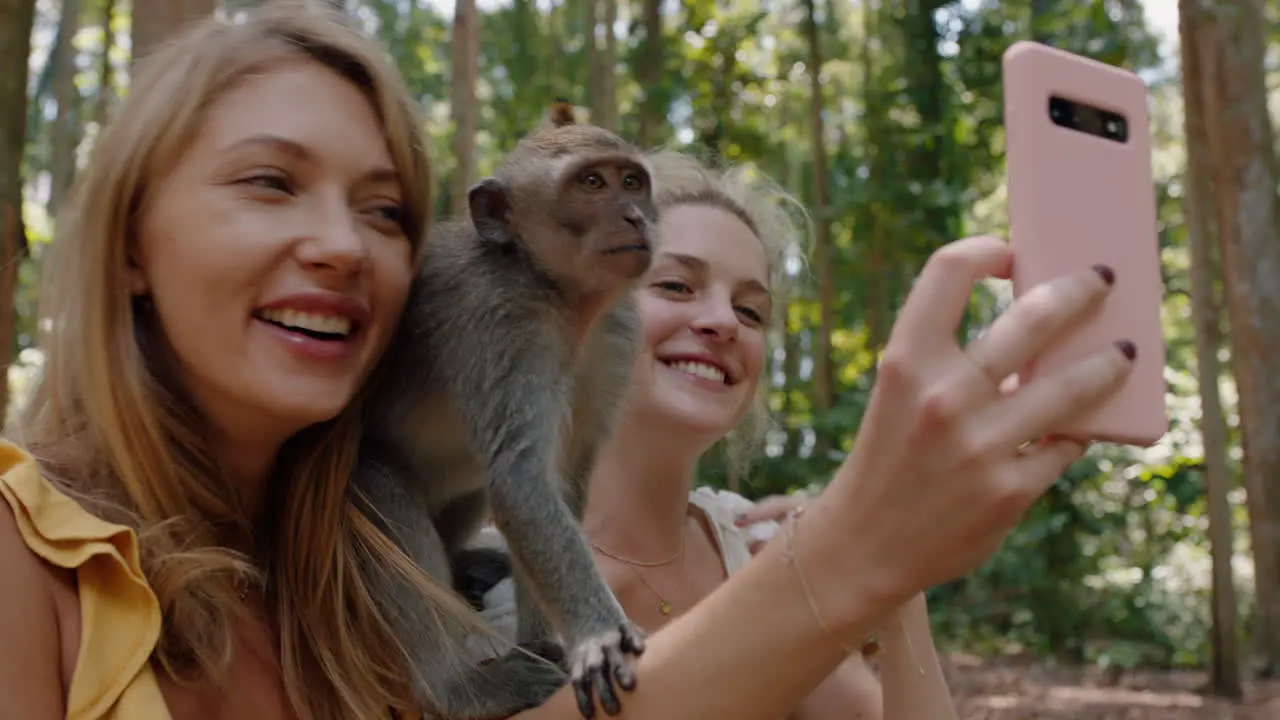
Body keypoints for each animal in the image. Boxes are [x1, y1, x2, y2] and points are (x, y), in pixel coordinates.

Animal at [355, 102, 660, 717]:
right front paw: (599, 636)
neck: (560, 297)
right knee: (381, 488)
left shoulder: (615, 334)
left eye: (632, 182)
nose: (636, 218)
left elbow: (559, 482)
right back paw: (461, 691)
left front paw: (547, 641)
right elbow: (521, 481)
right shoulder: (502, 322)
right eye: (592, 183)